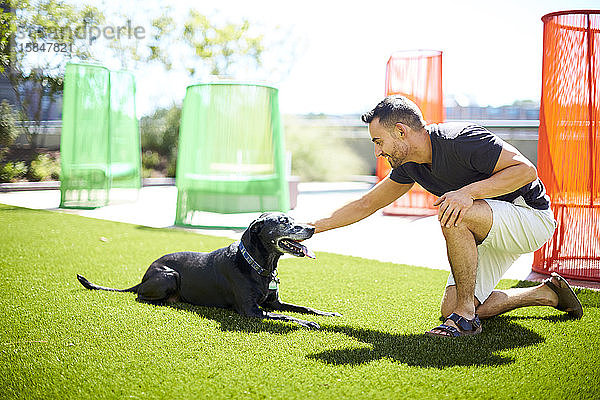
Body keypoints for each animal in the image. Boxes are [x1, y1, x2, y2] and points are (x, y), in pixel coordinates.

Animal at [77, 212, 340, 328]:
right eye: (284, 222)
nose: (312, 228)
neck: (258, 265)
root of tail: (144, 275)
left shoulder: (274, 303)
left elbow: (304, 308)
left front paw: (326, 314)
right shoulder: (251, 311)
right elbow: (286, 316)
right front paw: (307, 324)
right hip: (171, 275)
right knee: (141, 296)